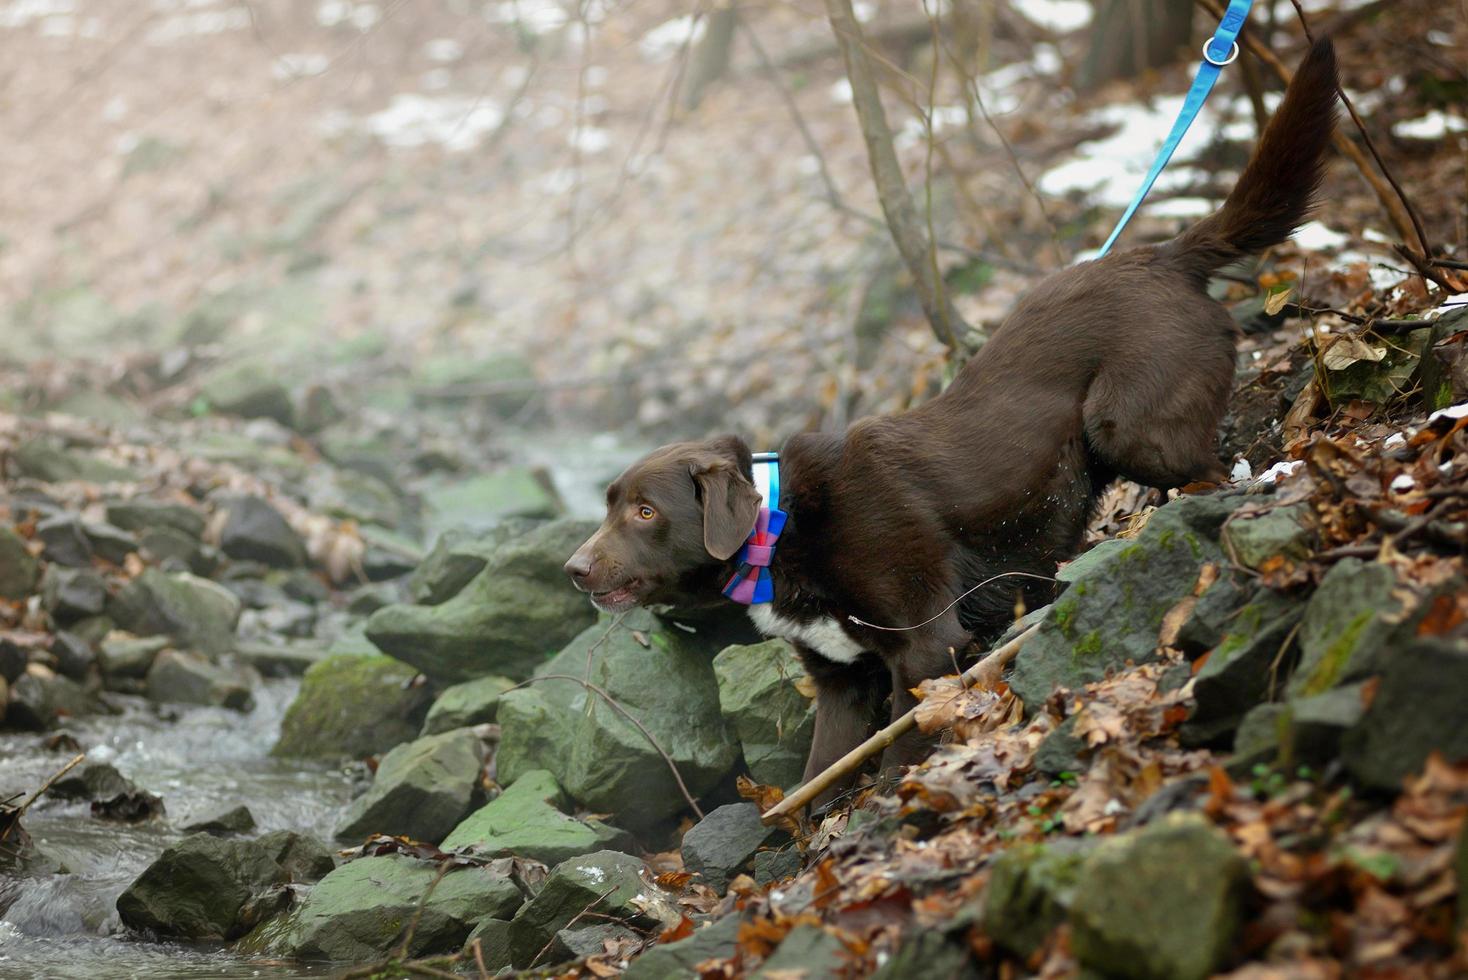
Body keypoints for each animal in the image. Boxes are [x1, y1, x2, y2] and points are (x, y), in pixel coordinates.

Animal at [563, 40, 1344, 803]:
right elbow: (815, 783)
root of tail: (1165, 255)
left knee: (1219, 468)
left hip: (1127, 426)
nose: (571, 568)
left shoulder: (923, 644)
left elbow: (896, 755)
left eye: (642, 511)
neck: (780, 528)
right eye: (608, 505)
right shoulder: (840, 682)